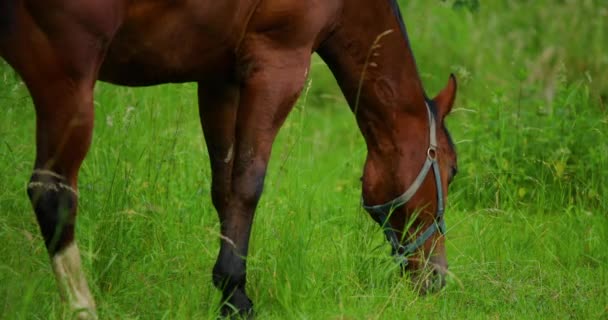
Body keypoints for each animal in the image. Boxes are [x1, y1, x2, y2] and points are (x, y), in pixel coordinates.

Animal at [0, 0, 456, 318]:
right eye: (452, 171)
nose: (438, 278)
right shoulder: (277, 65)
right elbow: (247, 183)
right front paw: (236, 295)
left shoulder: (218, 78)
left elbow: (223, 187)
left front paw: (230, 291)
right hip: (67, 79)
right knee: (52, 194)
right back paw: (83, 307)